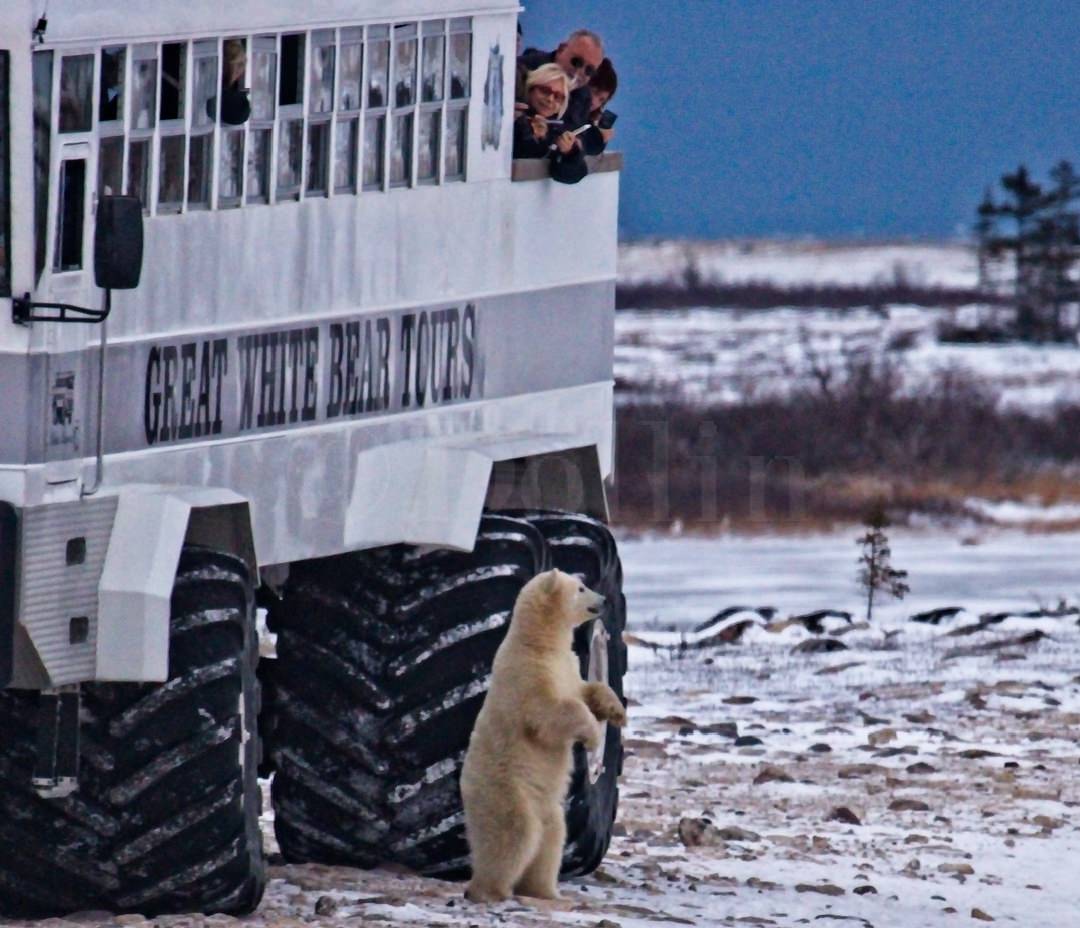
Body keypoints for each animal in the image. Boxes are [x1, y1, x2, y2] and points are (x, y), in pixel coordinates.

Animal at [460, 567, 627, 903]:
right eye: (581, 588)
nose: (604, 600)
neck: (538, 643)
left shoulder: (567, 667)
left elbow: (587, 691)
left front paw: (616, 712)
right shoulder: (527, 676)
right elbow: (552, 712)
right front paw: (592, 736)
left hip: (549, 807)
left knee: (551, 841)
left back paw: (546, 892)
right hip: (507, 791)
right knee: (514, 835)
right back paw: (491, 890)